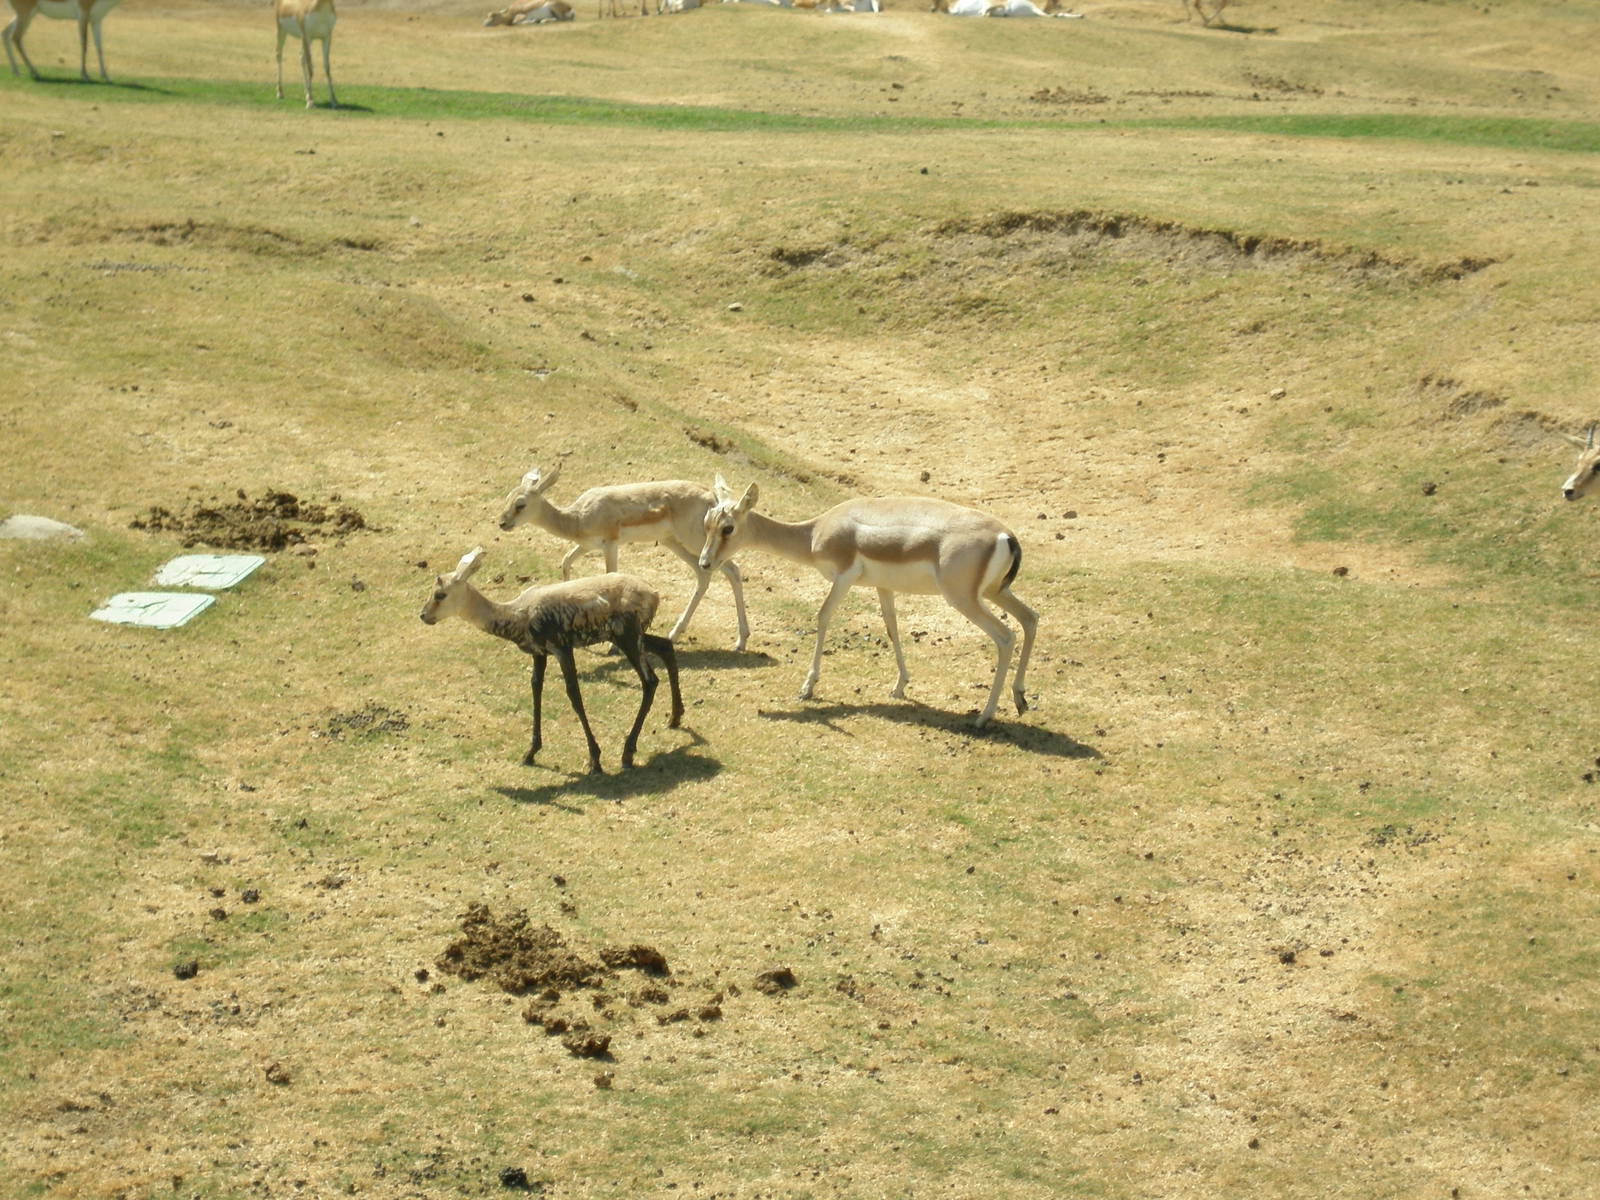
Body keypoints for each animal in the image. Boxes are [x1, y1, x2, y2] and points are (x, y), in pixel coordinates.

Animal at [421, 549, 685, 774]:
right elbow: (536, 688)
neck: (519, 613)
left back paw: (627, 753)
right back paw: (674, 718)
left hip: (627, 638)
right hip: (631, 638)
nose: (423, 615)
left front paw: (594, 760)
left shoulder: (562, 648)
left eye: (440, 594)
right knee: (665, 646)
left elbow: (574, 694)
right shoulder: (539, 653)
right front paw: (530, 753)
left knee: (650, 681)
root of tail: (653, 593)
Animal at [498, 463, 751, 651]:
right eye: (508, 498)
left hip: (699, 543)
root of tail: (712, 497)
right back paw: (675, 634)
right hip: (674, 543)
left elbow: (611, 576)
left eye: (520, 504)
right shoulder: (586, 546)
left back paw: (740, 641)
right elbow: (566, 563)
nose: (502, 523)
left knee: (733, 571)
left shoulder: (610, 545)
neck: (578, 517)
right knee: (703, 573)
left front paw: (613, 645)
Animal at [696, 477, 1039, 729]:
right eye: (707, 522)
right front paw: (899, 686)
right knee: (1030, 618)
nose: (704, 562)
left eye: (728, 527)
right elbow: (892, 628)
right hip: (994, 592)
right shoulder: (883, 586)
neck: (814, 532)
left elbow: (822, 617)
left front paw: (808, 688)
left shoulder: (844, 577)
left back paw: (985, 716)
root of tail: (1006, 536)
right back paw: (1020, 699)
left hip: (964, 599)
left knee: (1006, 637)